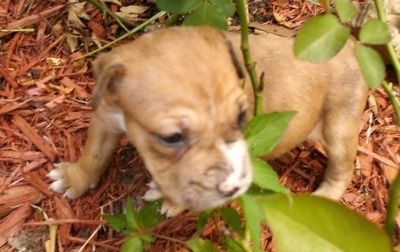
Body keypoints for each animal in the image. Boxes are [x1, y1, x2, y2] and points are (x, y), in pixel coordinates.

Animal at [49, 25, 368, 217]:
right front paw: (75, 178)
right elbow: (94, 154)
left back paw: (324, 198)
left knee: (343, 169)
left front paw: (170, 202)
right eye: (171, 137)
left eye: (240, 118)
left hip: (339, 128)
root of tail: (352, 46)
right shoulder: (106, 115)